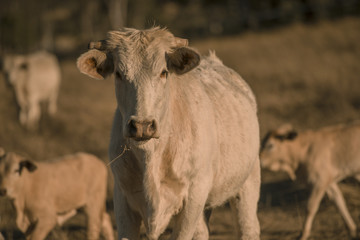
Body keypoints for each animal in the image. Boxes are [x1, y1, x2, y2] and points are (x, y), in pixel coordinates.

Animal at [76, 27, 262, 239]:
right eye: (118, 73)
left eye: (164, 72)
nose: (142, 125)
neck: (151, 156)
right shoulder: (122, 197)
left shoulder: (194, 195)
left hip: (248, 182)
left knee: (248, 227)